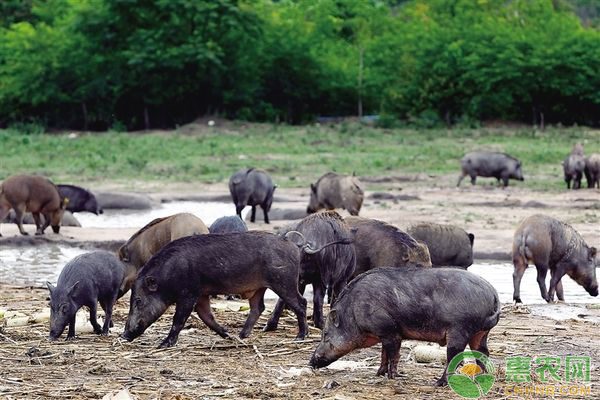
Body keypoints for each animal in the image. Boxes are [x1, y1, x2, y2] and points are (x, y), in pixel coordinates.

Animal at [310, 268, 502, 386]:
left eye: (325, 334)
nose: (311, 362)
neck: (353, 312)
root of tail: (493, 294)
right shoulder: (387, 334)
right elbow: (384, 354)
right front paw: (379, 374)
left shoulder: (390, 331)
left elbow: (393, 354)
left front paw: (391, 376)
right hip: (481, 333)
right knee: (483, 352)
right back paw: (480, 378)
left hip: (460, 329)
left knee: (455, 356)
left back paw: (439, 383)